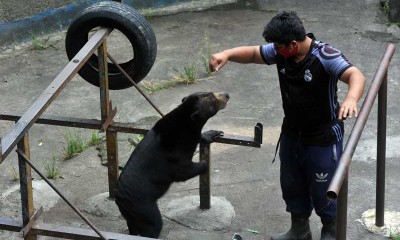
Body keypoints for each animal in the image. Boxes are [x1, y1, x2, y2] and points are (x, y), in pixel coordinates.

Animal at [114, 91, 230, 237]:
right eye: (213, 98)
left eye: (212, 93)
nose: (227, 95)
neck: (186, 122)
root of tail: (119, 197)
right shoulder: (173, 152)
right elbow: (182, 172)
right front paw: (204, 164)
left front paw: (213, 133)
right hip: (141, 205)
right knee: (153, 223)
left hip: (130, 212)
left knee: (132, 225)